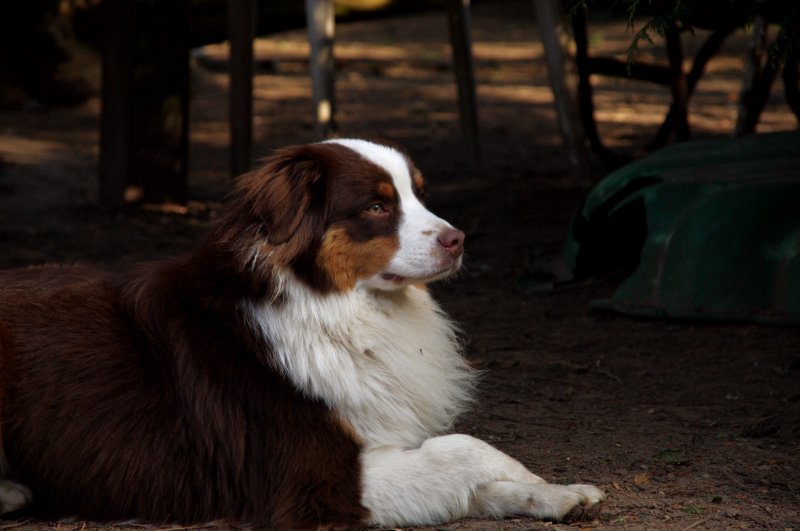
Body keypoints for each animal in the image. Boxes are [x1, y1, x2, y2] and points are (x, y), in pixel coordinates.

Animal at [0, 139, 604, 528]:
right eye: (377, 205)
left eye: (419, 195)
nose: (458, 239)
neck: (327, 305)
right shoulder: (309, 479)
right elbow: (464, 447)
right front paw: (539, 481)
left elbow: (463, 475)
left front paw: (554, 493)